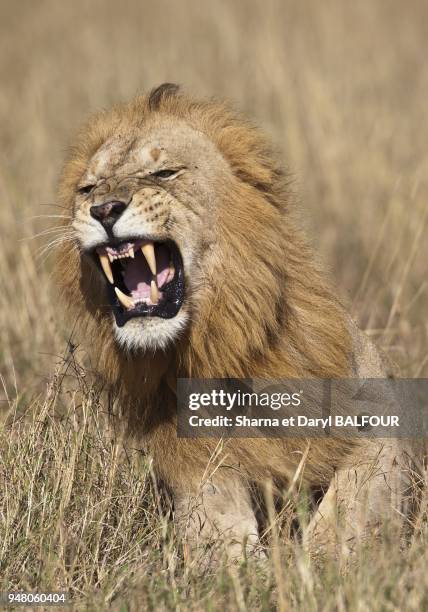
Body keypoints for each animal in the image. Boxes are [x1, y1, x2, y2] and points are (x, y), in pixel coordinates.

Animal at [54, 83, 424, 560]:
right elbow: (219, 537)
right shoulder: (196, 464)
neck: (219, 340)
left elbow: (347, 510)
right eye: (88, 188)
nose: (103, 209)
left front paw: (318, 564)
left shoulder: (381, 425)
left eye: (164, 173)